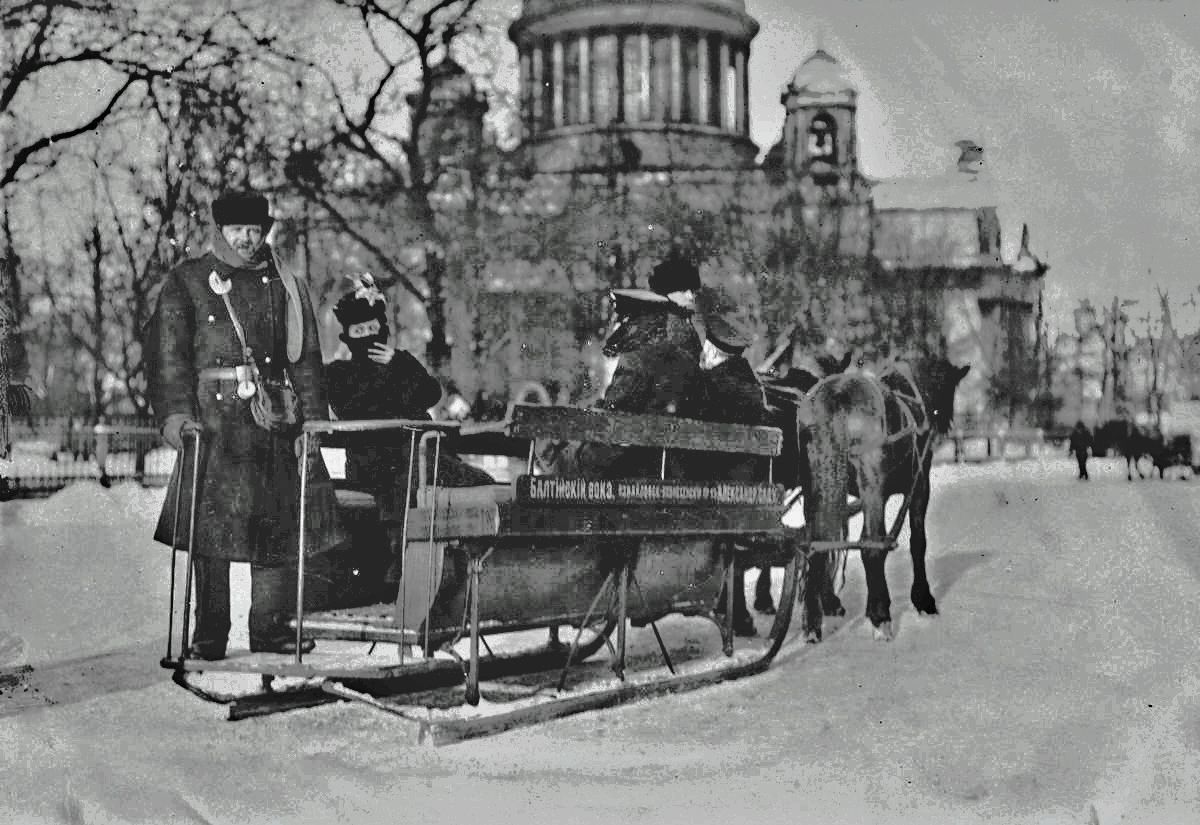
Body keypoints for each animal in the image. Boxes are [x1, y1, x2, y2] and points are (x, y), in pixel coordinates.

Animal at [801, 357, 969, 642]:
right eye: (949, 389)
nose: (945, 425)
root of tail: (837, 394)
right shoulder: (920, 487)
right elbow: (916, 542)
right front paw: (923, 600)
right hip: (872, 488)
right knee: (869, 545)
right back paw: (881, 618)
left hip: (815, 486)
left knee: (816, 544)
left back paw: (816, 621)